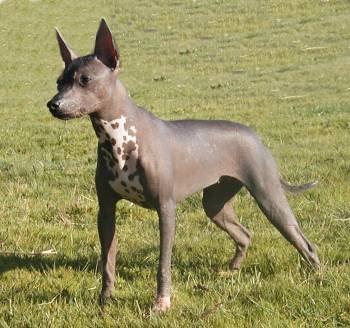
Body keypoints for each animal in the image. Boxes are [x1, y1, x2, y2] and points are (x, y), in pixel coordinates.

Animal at [46, 19, 320, 312]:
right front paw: (105, 300)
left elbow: (163, 263)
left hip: (269, 198)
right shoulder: (106, 211)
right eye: (59, 82)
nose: (53, 104)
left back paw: (318, 275)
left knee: (305, 243)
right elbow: (107, 260)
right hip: (215, 204)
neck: (119, 137)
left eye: (85, 80)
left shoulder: (166, 209)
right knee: (245, 234)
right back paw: (231, 271)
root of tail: (255, 136)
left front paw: (161, 302)